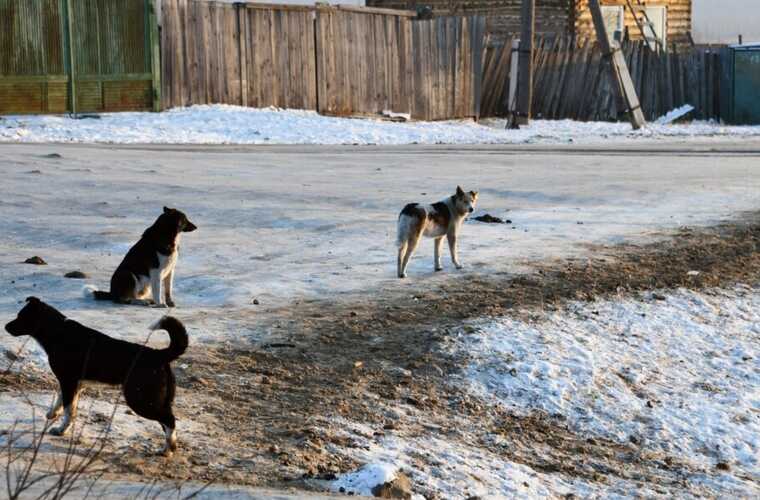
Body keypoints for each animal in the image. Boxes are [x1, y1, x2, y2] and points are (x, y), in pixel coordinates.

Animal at [4, 296, 189, 458]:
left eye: (21, 317)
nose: (5, 327)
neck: (58, 333)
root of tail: (159, 355)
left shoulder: (68, 381)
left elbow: (68, 410)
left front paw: (61, 430)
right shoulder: (72, 384)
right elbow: (63, 402)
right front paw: (53, 414)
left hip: (140, 399)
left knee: (169, 420)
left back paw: (167, 450)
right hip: (157, 400)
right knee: (167, 421)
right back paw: (169, 447)